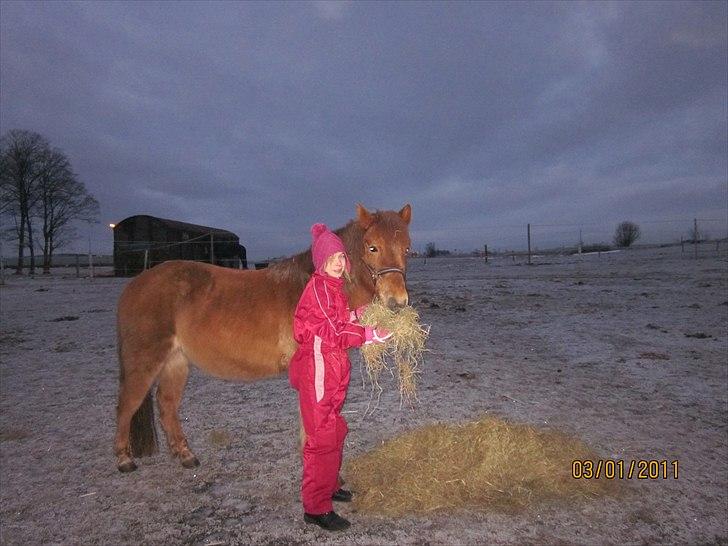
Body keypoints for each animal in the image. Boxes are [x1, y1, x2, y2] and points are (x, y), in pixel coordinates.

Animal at [113, 202, 410, 470]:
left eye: (407, 248)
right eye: (372, 247)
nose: (397, 302)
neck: (311, 285)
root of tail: (135, 284)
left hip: (176, 362)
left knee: (167, 405)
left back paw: (186, 456)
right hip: (145, 362)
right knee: (127, 404)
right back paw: (124, 460)